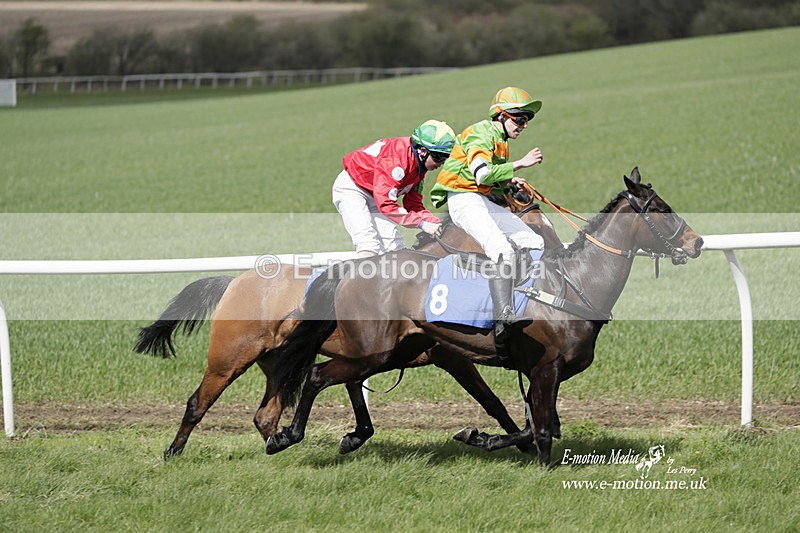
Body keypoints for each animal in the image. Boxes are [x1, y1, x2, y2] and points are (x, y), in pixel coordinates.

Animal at [134, 193, 561, 459]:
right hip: (229, 357)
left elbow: (357, 394)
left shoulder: (370, 353)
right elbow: (490, 400)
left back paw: (278, 443)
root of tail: (233, 282)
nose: (558, 252)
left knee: (265, 415)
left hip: (276, 362)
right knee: (197, 403)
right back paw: (174, 451)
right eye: (538, 222)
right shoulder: (449, 356)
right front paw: (522, 443)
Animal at [264, 168, 705, 465]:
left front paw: (479, 437)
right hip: (374, 349)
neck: (574, 284)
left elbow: (534, 424)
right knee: (318, 375)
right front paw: (519, 454)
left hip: (392, 351)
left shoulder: (541, 371)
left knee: (337, 376)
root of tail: (353, 268)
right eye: (662, 209)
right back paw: (285, 436)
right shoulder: (542, 368)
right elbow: (539, 428)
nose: (697, 242)